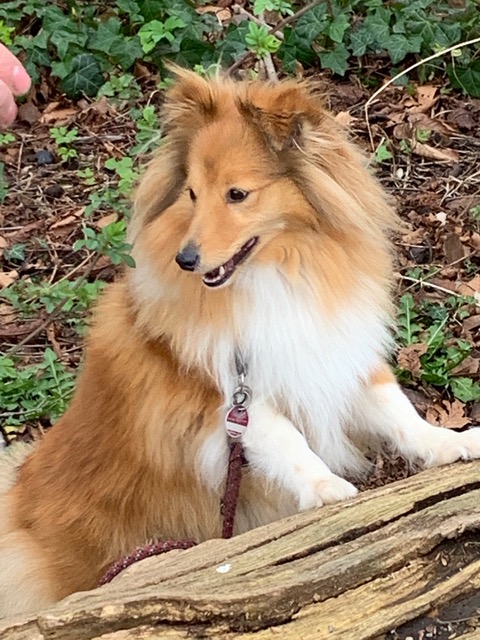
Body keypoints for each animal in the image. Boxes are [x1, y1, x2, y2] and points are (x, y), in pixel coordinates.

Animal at [1, 68, 480, 618]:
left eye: (237, 194)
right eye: (191, 193)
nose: (186, 259)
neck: (278, 270)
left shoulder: (331, 354)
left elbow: (398, 411)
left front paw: (451, 442)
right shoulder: (223, 401)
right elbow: (287, 442)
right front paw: (325, 488)